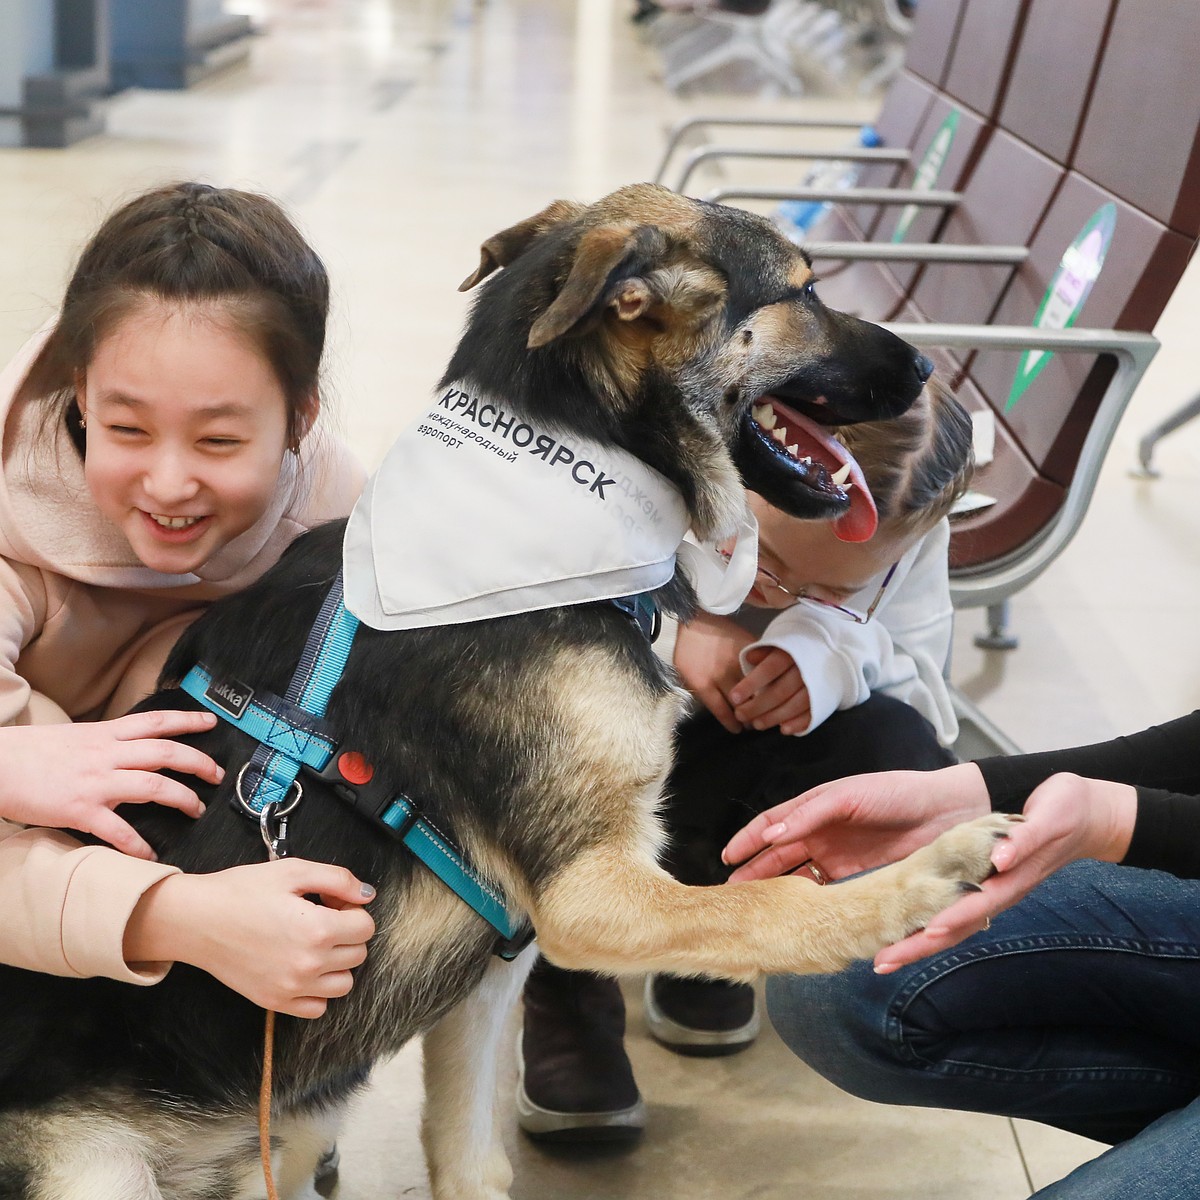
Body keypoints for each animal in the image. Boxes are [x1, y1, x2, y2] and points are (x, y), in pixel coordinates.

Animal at [0, 184, 1012, 1200]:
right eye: (804, 291)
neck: (569, 478)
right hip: (101, 1168)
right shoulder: (590, 894)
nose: (930, 368)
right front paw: (929, 871)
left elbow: (474, 1155)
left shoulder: (495, 974)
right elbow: (768, 906)